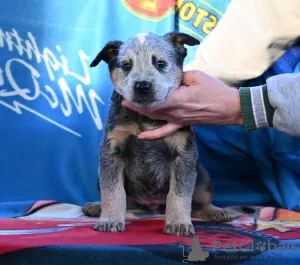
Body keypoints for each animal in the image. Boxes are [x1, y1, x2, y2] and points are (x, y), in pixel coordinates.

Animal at [83, 32, 233, 234]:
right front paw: (109, 219)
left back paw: (217, 212)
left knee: (199, 204)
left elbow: (179, 193)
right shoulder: (111, 151)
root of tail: (152, 205)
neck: (145, 119)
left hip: (202, 176)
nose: (142, 86)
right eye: (126, 65)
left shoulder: (183, 154)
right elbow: (112, 190)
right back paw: (96, 206)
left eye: (160, 63)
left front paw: (178, 223)